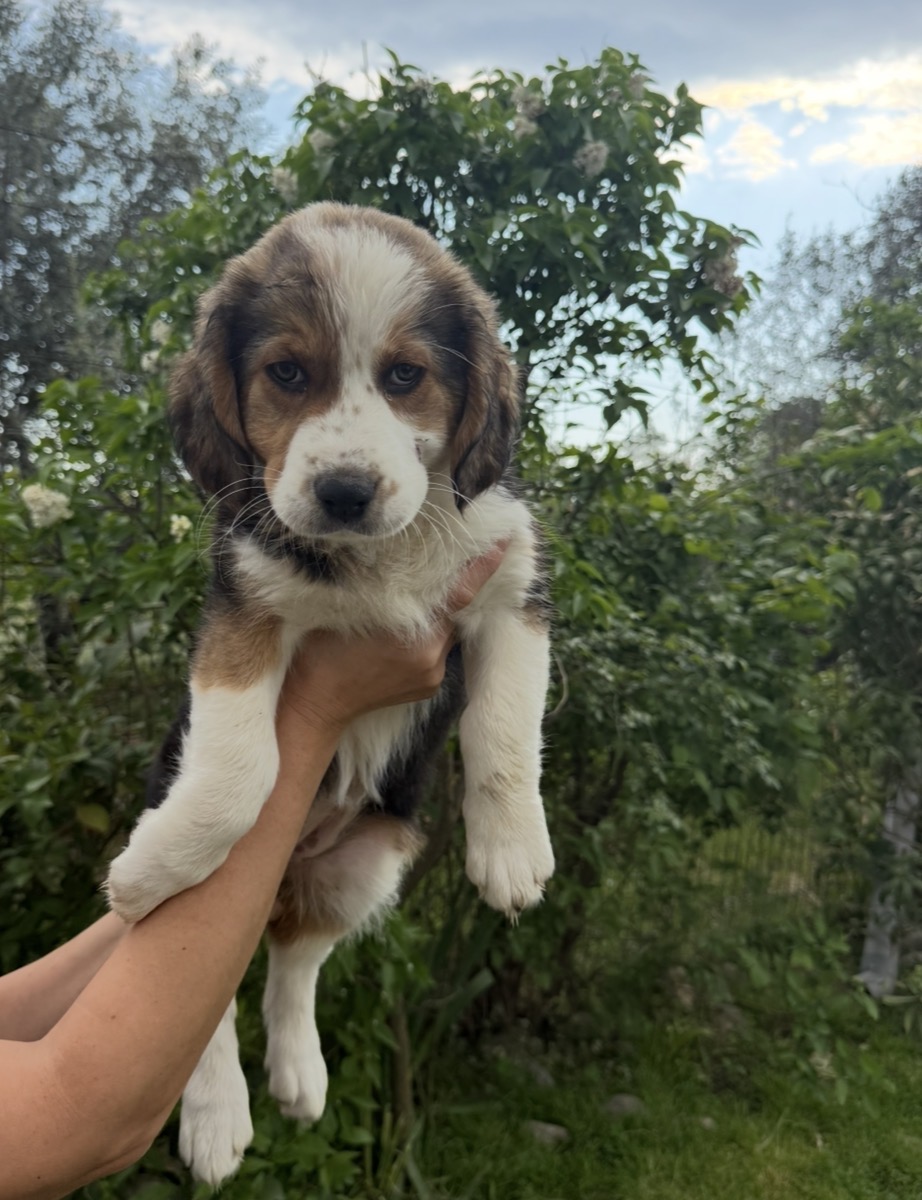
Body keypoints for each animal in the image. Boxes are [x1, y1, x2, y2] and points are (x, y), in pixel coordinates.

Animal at [105, 202, 554, 1186]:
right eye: (286, 373)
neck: (374, 556)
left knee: (294, 960)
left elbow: (505, 732)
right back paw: (216, 1116)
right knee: (206, 991)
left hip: (367, 864)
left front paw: (511, 852)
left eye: (405, 376)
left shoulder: (511, 589)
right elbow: (239, 771)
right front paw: (152, 864)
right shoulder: (246, 607)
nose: (345, 491)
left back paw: (299, 1075)